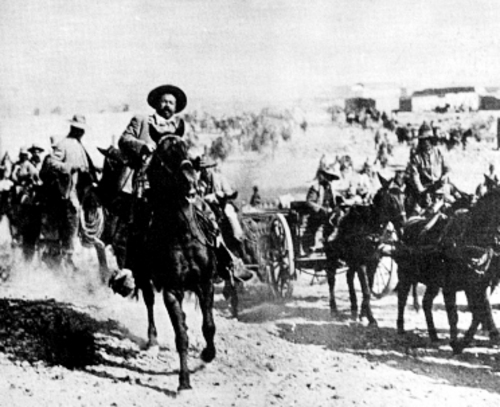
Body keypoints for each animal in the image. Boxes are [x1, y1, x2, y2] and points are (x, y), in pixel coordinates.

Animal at [139, 135, 221, 391]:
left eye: (186, 149)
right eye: (164, 156)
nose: (191, 181)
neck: (182, 233)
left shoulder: (205, 282)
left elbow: (209, 325)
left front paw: (208, 354)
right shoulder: (172, 291)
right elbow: (180, 336)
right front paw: (184, 381)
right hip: (143, 277)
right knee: (149, 302)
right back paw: (152, 341)